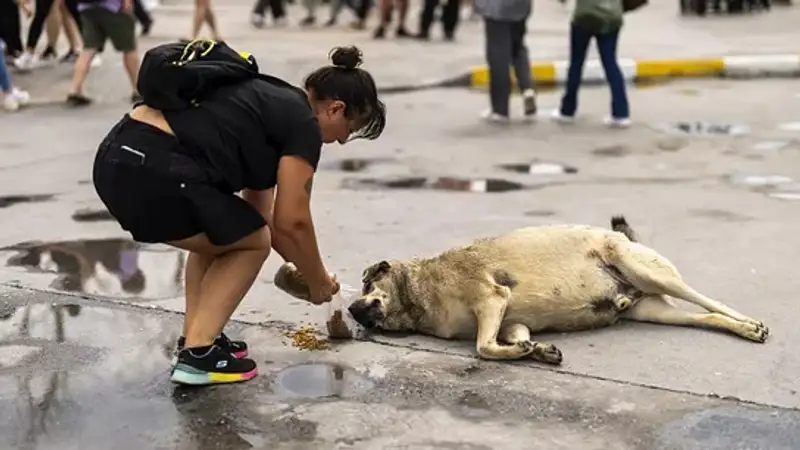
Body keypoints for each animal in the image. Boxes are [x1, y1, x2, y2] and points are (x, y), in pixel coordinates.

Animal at [348, 215, 768, 366]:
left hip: (644, 269)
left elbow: (483, 348)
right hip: (652, 310)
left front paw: (520, 352)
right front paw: (534, 349)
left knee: (710, 300)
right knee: (705, 316)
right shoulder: (508, 320)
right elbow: (512, 338)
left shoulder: (491, 299)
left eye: (368, 283)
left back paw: (749, 323)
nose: (351, 310)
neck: (418, 292)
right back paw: (739, 328)